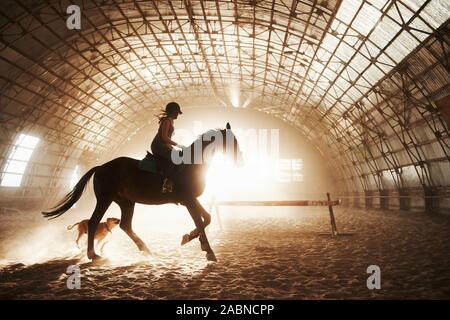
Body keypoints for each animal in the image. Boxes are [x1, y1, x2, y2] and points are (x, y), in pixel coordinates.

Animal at [43, 121, 243, 262]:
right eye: (232, 141)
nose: (239, 160)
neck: (191, 165)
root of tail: (101, 167)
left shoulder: (191, 199)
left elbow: (207, 219)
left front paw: (194, 240)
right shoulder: (188, 200)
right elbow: (201, 222)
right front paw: (205, 249)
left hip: (126, 202)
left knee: (125, 225)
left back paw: (145, 249)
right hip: (105, 199)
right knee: (93, 222)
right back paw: (93, 255)